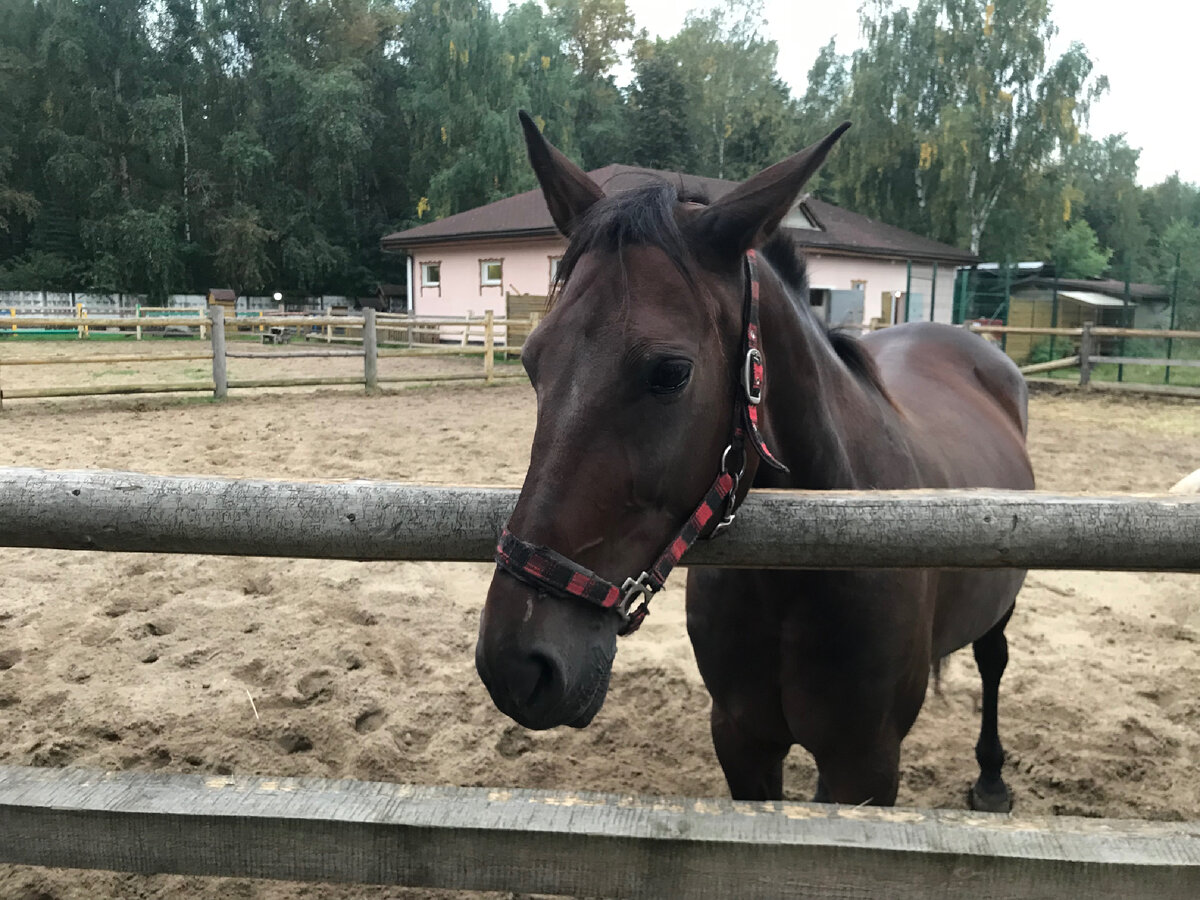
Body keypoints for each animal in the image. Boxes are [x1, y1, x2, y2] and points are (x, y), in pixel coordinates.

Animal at [472, 111, 1036, 811]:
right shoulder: (743, 740)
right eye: (532, 362)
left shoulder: (865, 765)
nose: (515, 665)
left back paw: (991, 779)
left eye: (670, 372)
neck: (800, 576)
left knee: (993, 662)